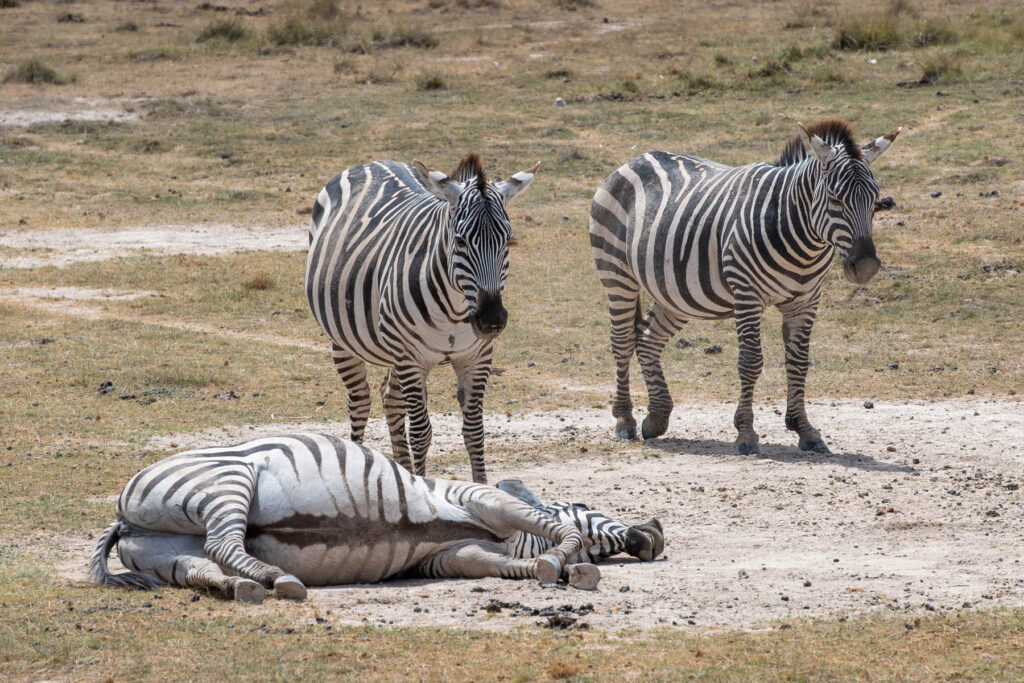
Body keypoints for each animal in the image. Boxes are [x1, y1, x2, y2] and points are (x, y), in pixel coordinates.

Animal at [90, 433, 664, 603]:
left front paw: (549, 567)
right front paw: (565, 559)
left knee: (205, 566)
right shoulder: (477, 496)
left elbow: (500, 566)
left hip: (167, 553)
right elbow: (555, 530)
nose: (654, 535)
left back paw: (248, 587)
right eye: (589, 506)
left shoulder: (446, 558)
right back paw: (279, 580)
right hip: (228, 481)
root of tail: (122, 516)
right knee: (224, 545)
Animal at [305, 154, 538, 485]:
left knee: (389, 398)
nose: (492, 319)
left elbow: (474, 432)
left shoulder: (476, 357)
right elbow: (420, 433)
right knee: (360, 403)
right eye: (461, 241)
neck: (456, 308)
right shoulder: (411, 358)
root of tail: (373, 162)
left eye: (508, 240)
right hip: (345, 341)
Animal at [589, 119, 900, 454]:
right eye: (834, 198)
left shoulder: (805, 300)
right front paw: (746, 433)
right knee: (622, 340)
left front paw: (804, 430)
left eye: (875, 200)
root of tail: (639, 158)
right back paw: (625, 420)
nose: (866, 267)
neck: (800, 233)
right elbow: (750, 362)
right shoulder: (747, 294)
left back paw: (657, 418)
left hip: (675, 291)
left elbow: (799, 363)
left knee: (648, 338)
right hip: (616, 270)